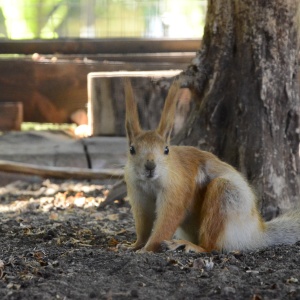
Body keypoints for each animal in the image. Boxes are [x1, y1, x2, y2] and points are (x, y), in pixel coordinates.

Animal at [122, 78, 300, 253]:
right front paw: (135, 245)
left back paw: (191, 246)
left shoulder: (177, 189)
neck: (150, 182)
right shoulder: (137, 194)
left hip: (225, 196)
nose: (150, 166)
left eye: (166, 149)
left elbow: (166, 222)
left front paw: (146, 250)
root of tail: (255, 233)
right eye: (131, 149)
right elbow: (143, 223)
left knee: (211, 246)